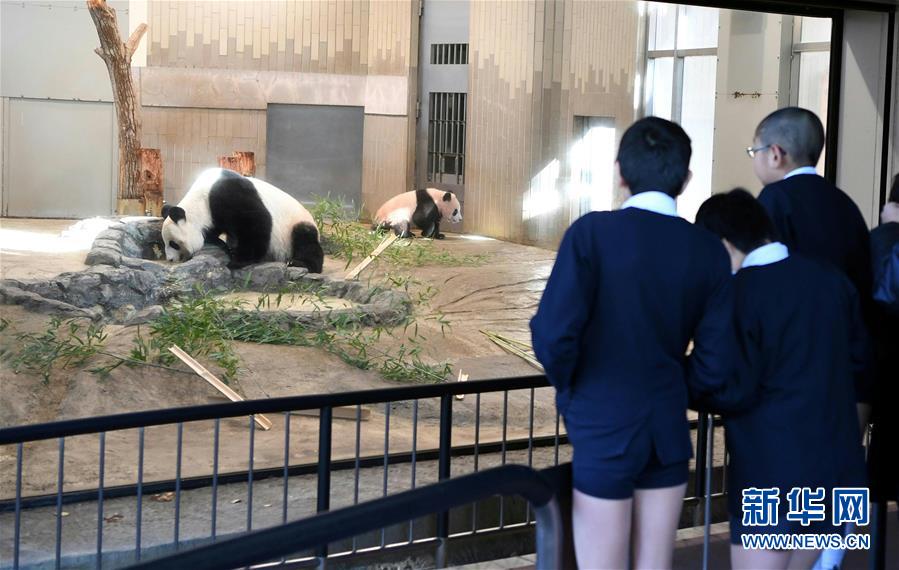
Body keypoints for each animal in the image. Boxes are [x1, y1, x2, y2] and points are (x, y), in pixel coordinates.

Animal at [162, 168, 324, 272]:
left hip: (294, 225)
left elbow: (256, 223)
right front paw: (223, 245)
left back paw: (301, 263)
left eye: (173, 244)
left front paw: (238, 261)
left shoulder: (231, 195)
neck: (200, 201)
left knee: (305, 238)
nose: (170, 260)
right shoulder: (214, 215)